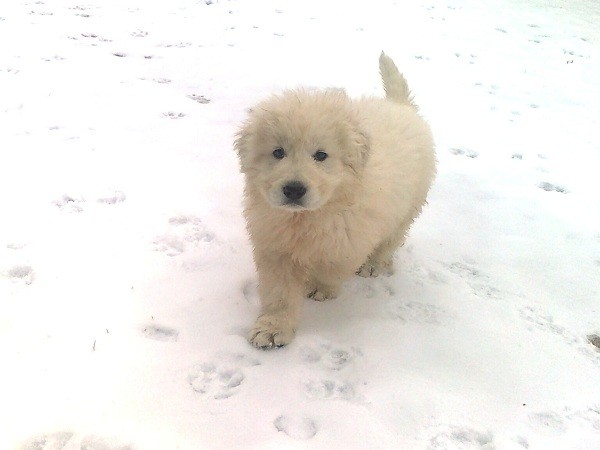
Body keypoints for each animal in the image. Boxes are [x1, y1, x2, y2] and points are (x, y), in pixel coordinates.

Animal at [234, 51, 436, 348]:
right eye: (278, 152)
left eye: (321, 155)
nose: (294, 189)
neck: (308, 217)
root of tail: (400, 106)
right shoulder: (275, 245)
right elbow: (278, 292)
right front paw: (272, 328)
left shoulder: (351, 238)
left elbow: (333, 266)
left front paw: (319, 288)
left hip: (408, 205)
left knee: (391, 239)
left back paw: (373, 265)